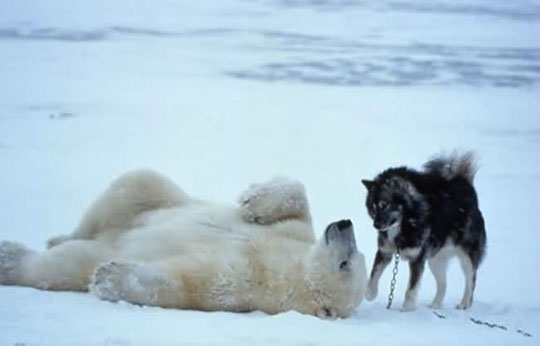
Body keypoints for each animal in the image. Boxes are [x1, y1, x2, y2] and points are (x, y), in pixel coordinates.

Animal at [0, 170, 368, 318]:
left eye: (346, 263)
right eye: (355, 255)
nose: (345, 224)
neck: (288, 266)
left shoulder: (245, 280)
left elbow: (188, 281)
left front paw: (110, 277)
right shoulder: (295, 234)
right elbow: (297, 198)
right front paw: (253, 201)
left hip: (99, 248)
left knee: (66, 264)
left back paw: (10, 258)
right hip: (151, 200)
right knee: (135, 184)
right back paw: (58, 236)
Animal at [362, 151, 486, 310]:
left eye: (385, 205)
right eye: (373, 208)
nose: (376, 225)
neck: (405, 224)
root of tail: (465, 185)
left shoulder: (417, 259)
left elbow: (411, 289)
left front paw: (406, 309)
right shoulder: (385, 252)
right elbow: (374, 275)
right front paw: (369, 294)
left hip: (467, 256)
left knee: (471, 279)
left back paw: (464, 303)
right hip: (435, 259)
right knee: (443, 284)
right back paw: (435, 305)